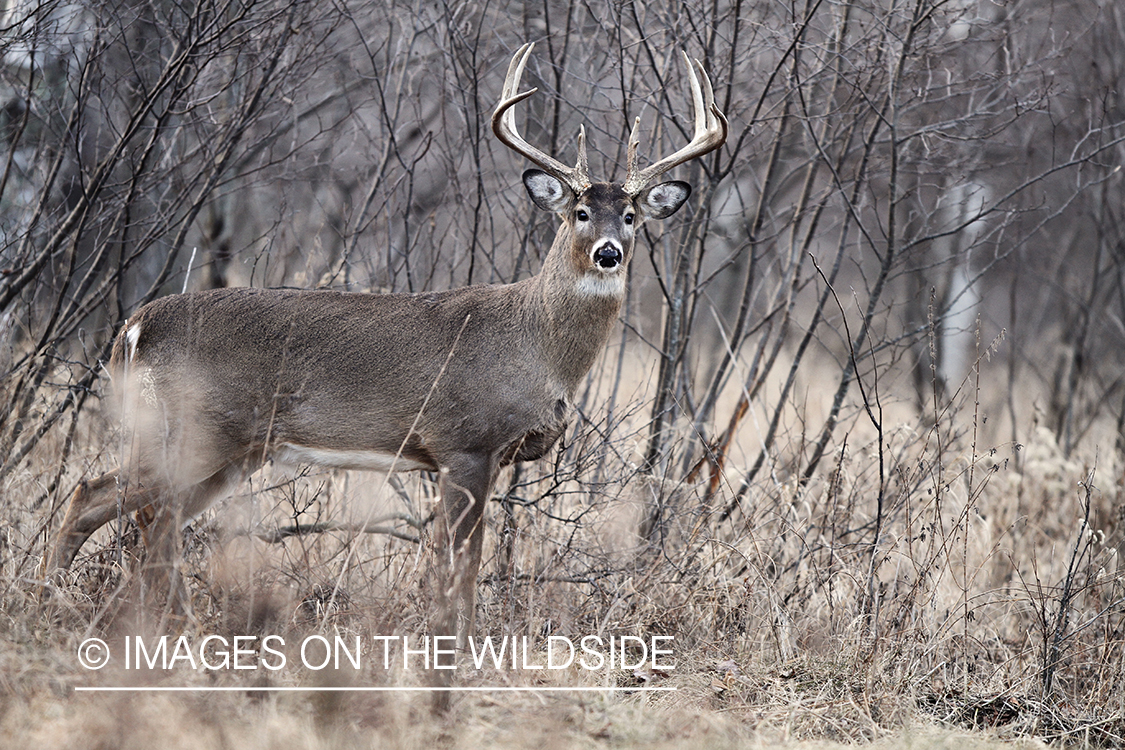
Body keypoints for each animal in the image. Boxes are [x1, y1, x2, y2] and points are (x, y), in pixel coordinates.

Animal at [43, 42, 724, 634]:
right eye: (579, 212)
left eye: (631, 215)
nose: (609, 252)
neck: (535, 347)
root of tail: (133, 327)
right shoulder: (464, 442)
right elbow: (460, 563)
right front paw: (456, 645)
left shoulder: (475, 457)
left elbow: (455, 559)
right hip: (197, 425)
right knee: (105, 497)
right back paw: (66, 601)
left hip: (231, 448)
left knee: (147, 516)